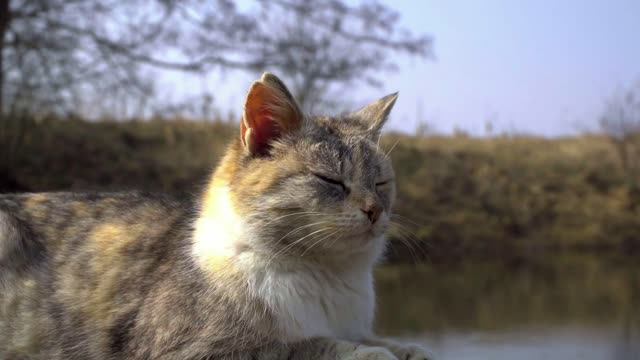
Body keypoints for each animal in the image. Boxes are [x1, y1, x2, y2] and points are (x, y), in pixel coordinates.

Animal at [1, 73, 430, 360]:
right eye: (330, 180)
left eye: (381, 183)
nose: (375, 210)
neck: (327, 276)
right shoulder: (191, 349)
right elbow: (303, 346)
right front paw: (367, 352)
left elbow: (382, 340)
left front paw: (405, 348)